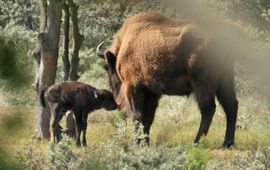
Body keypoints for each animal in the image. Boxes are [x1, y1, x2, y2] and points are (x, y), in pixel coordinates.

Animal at [97, 11, 238, 147]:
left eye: (107, 67)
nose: (112, 92)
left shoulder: (133, 87)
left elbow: (137, 115)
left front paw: (137, 142)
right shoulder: (152, 93)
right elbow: (148, 118)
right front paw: (145, 142)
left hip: (202, 84)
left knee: (208, 109)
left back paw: (196, 142)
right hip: (224, 81)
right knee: (231, 105)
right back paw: (227, 143)